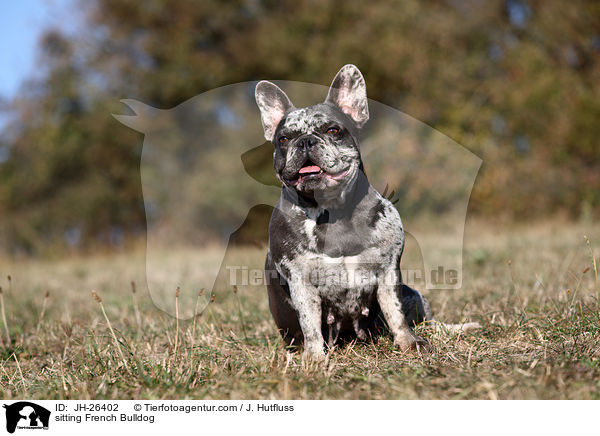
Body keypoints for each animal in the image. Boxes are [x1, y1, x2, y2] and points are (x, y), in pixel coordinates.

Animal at [255, 63, 476, 358]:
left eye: (333, 131)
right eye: (283, 138)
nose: (304, 142)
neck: (333, 212)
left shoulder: (388, 271)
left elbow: (395, 312)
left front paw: (408, 342)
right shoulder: (300, 281)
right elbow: (310, 323)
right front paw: (315, 358)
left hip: (416, 295)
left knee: (426, 321)